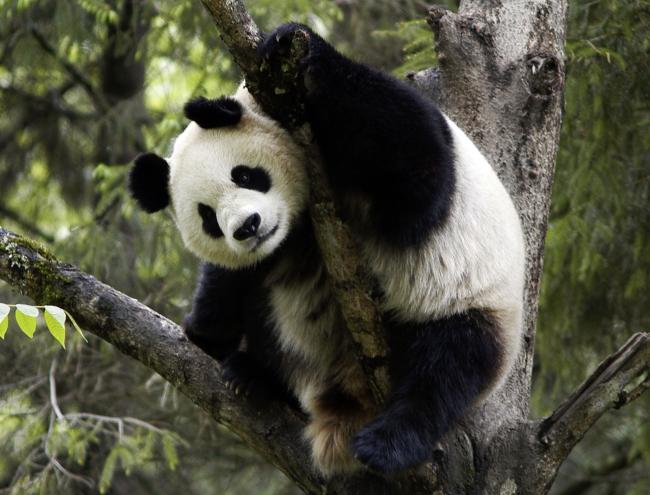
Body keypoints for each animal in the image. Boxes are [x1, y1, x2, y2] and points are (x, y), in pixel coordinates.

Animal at [129, 22, 524, 476]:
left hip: (470, 303)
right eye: (208, 217)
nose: (247, 227)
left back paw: (388, 443)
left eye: (245, 175)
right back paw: (255, 377)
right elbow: (228, 286)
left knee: (448, 367)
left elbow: (418, 173)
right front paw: (204, 329)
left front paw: (291, 45)